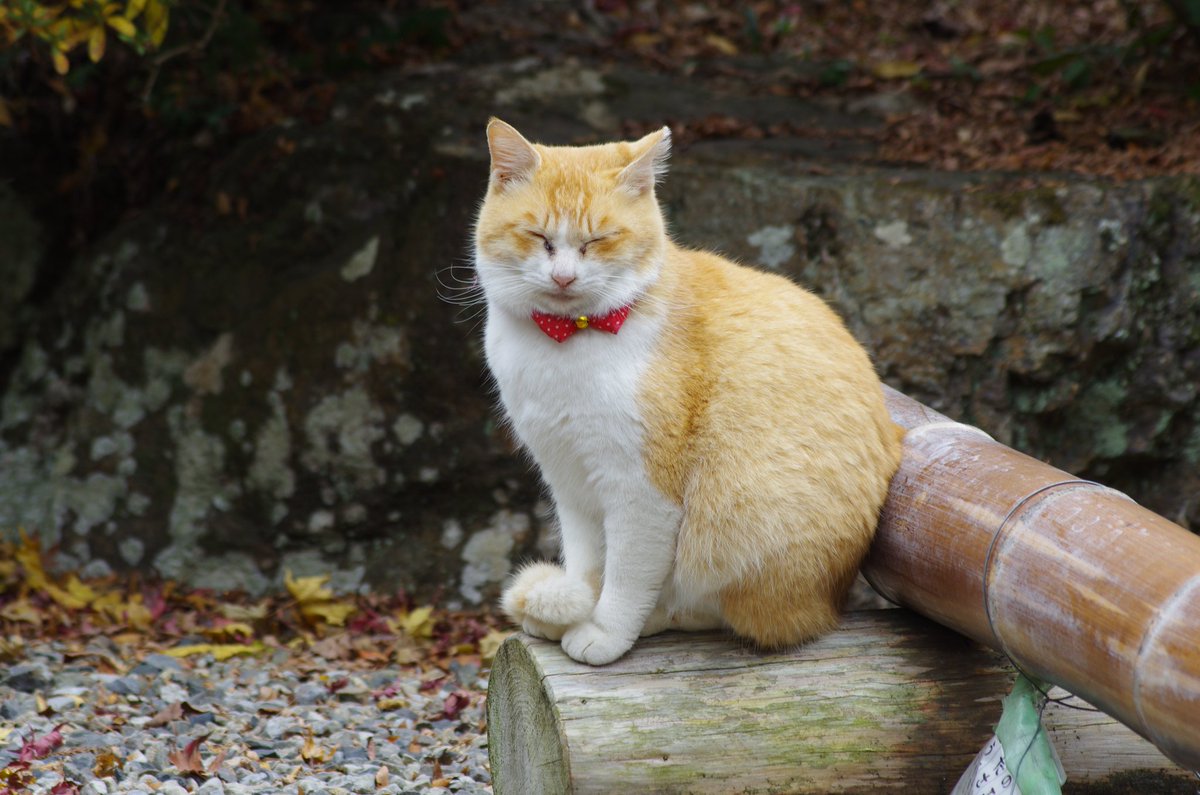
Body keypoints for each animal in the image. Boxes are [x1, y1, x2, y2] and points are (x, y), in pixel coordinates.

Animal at [470, 118, 902, 667]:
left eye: (600, 240)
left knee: (732, 614)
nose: (564, 277)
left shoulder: (641, 491)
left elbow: (627, 577)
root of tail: (835, 599)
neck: (568, 341)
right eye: (538, 237)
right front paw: (578, 602)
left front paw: (603, 630)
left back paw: (657, 616)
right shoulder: (569, 480)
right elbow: (588, 562)